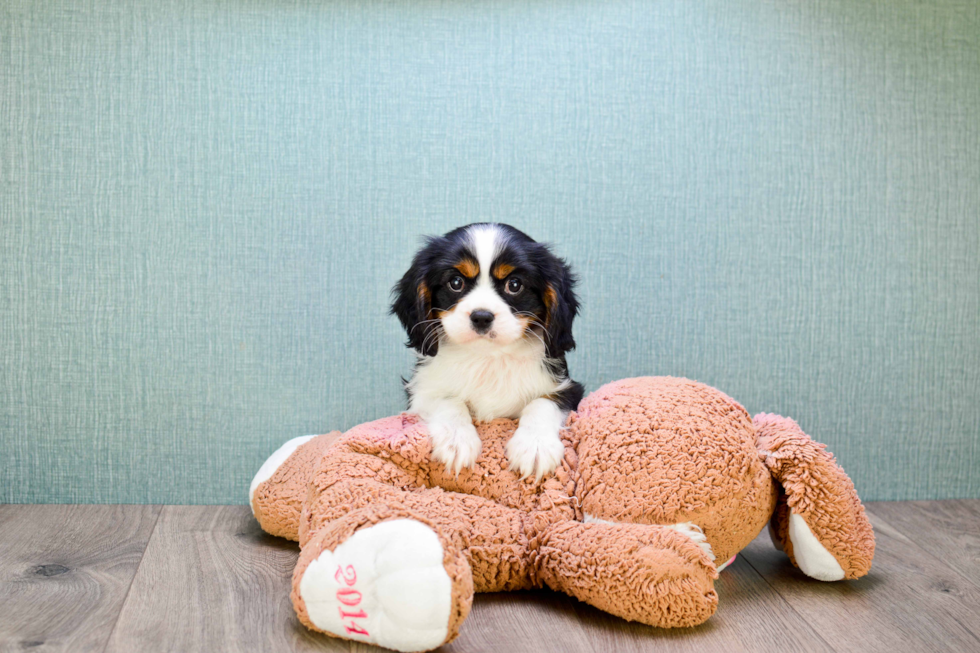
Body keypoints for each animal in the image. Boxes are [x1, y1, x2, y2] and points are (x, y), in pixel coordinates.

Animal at [390, 223, 584, 478]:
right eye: (456, 283)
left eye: (514, 285)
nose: (481, 317)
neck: (488, 356)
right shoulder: (421, 392)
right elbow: (449, 401)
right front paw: (457, 441)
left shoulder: (568, 388)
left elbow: (541, 403)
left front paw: (535, 445)